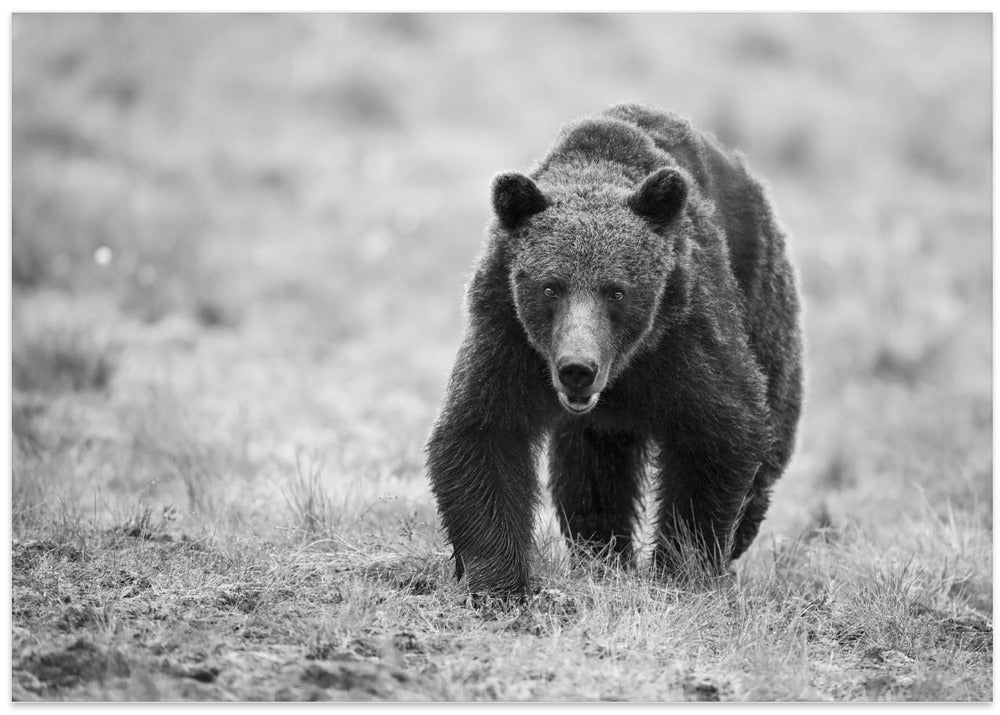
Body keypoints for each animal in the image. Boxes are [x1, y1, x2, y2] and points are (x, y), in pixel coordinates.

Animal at [426, 103, 803, 596]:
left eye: (617, 291)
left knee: (770, 433)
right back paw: (602, 552)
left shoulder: (684, 328)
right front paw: (500, 580)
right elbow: (484, 431)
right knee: (590, 471)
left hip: (763, 303)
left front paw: (683, 567)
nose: (577, 368)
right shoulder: (507, 330)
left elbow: (719, 430)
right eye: (551, 286)